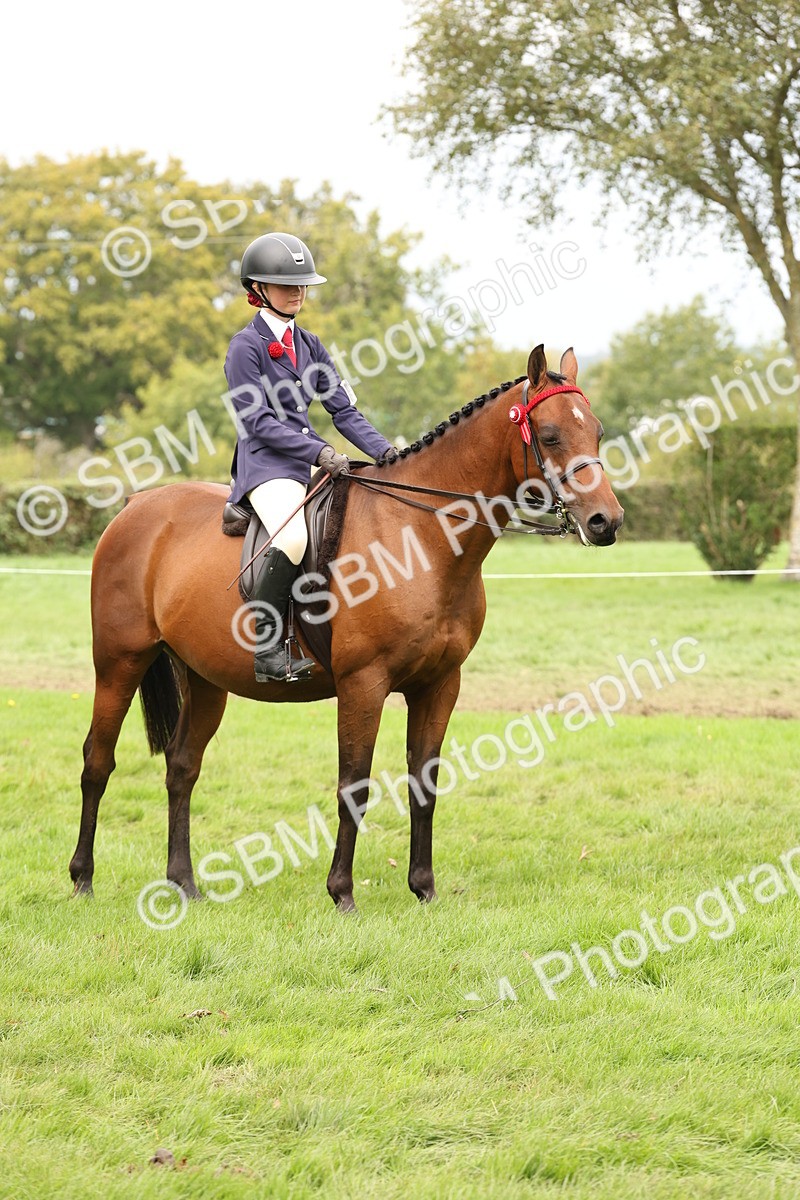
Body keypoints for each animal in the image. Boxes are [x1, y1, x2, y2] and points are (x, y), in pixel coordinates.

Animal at [69, 344, 623, 912]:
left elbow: (424, 784)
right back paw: (83, 878)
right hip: (119, 663)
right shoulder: (364, 684)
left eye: (597, 431)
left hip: (205, 680)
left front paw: (424, 888)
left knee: (182, 767)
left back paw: (184, 883)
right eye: (550, 435)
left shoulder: (440, 685)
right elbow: (353, 786)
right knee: (98, 761)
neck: (419, 537)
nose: (606, 522)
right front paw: (342, 893)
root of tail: (136, 505)